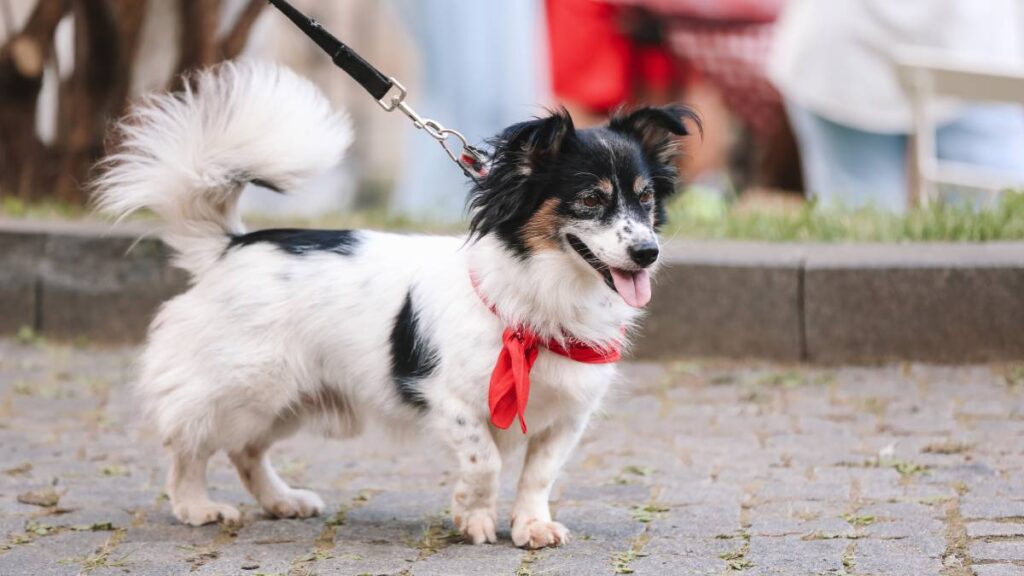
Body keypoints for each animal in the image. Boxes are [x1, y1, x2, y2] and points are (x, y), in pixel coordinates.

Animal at [94, 61, 696, 545]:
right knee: (189, 443)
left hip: (289, 397)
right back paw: (196, 505)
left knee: (245, 451)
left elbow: (537, 475)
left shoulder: (568, 415)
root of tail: (229, 246)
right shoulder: (449, 399)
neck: (545, 294)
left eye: (645, 199)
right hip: (245, 386)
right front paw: (473, 517)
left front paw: (530, 526)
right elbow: (484, 462)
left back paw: (281, 501)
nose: (647, 252)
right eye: (590, 200)